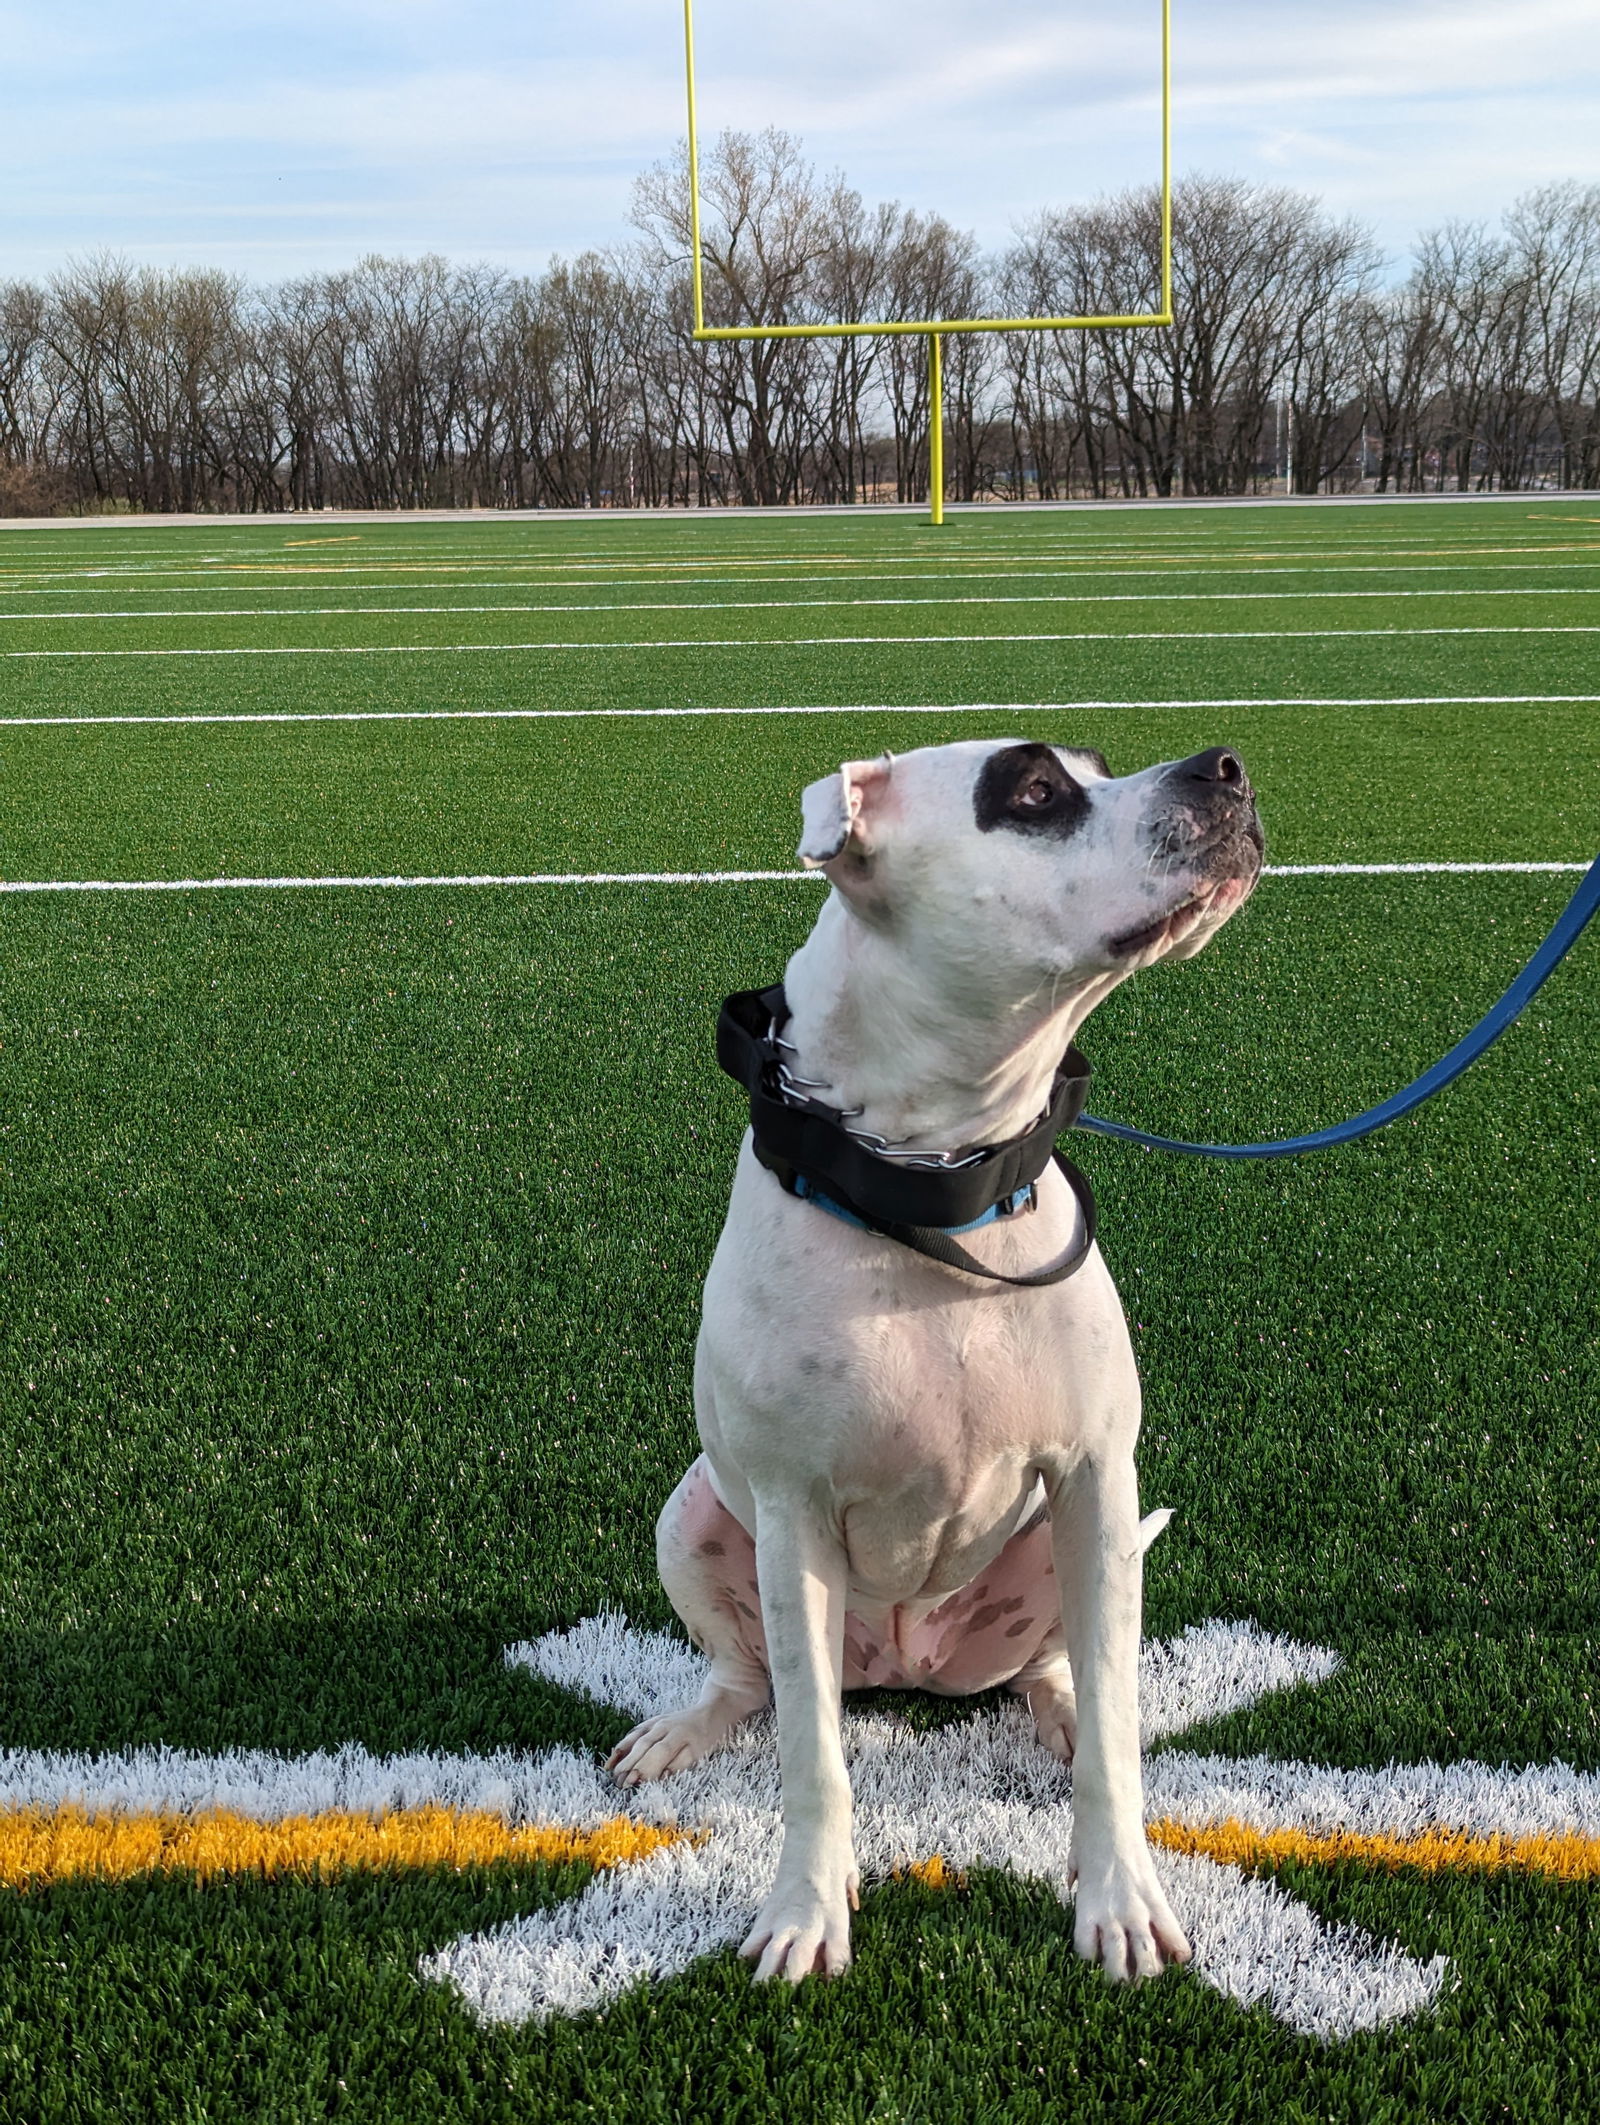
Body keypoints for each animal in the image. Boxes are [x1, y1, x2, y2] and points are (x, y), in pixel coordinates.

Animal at [607, 735, 1257, 1989]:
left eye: (1098, 764)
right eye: (1034, 792)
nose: (1225, 765)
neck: (931, 1185)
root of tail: (906, 1662)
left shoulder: (1095, 1477)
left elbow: (1114, 1748)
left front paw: (1118, 1894)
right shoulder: (793, 1519)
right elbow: (811, 1755)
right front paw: (806, 1911)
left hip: (1076, 1549)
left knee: (1062, 1671)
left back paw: (1060, 1709)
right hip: (696, 1515)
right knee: (748, 1678)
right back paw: (684, 1727)